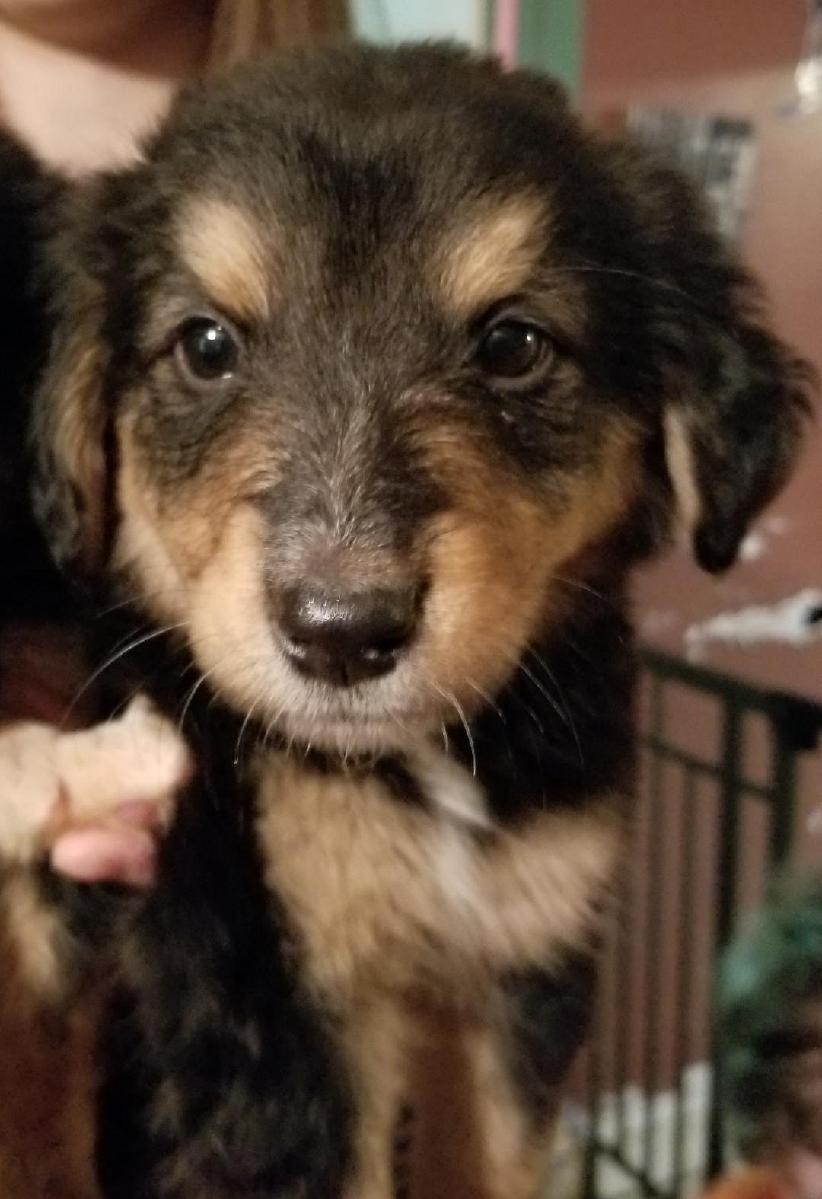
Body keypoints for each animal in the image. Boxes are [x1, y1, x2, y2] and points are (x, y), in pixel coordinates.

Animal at [9, 42, 814, 1199]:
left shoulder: (527, 956)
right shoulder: (282, 1006)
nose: (341, 630)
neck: (418, 771)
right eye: (205, 344)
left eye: (514, 343)